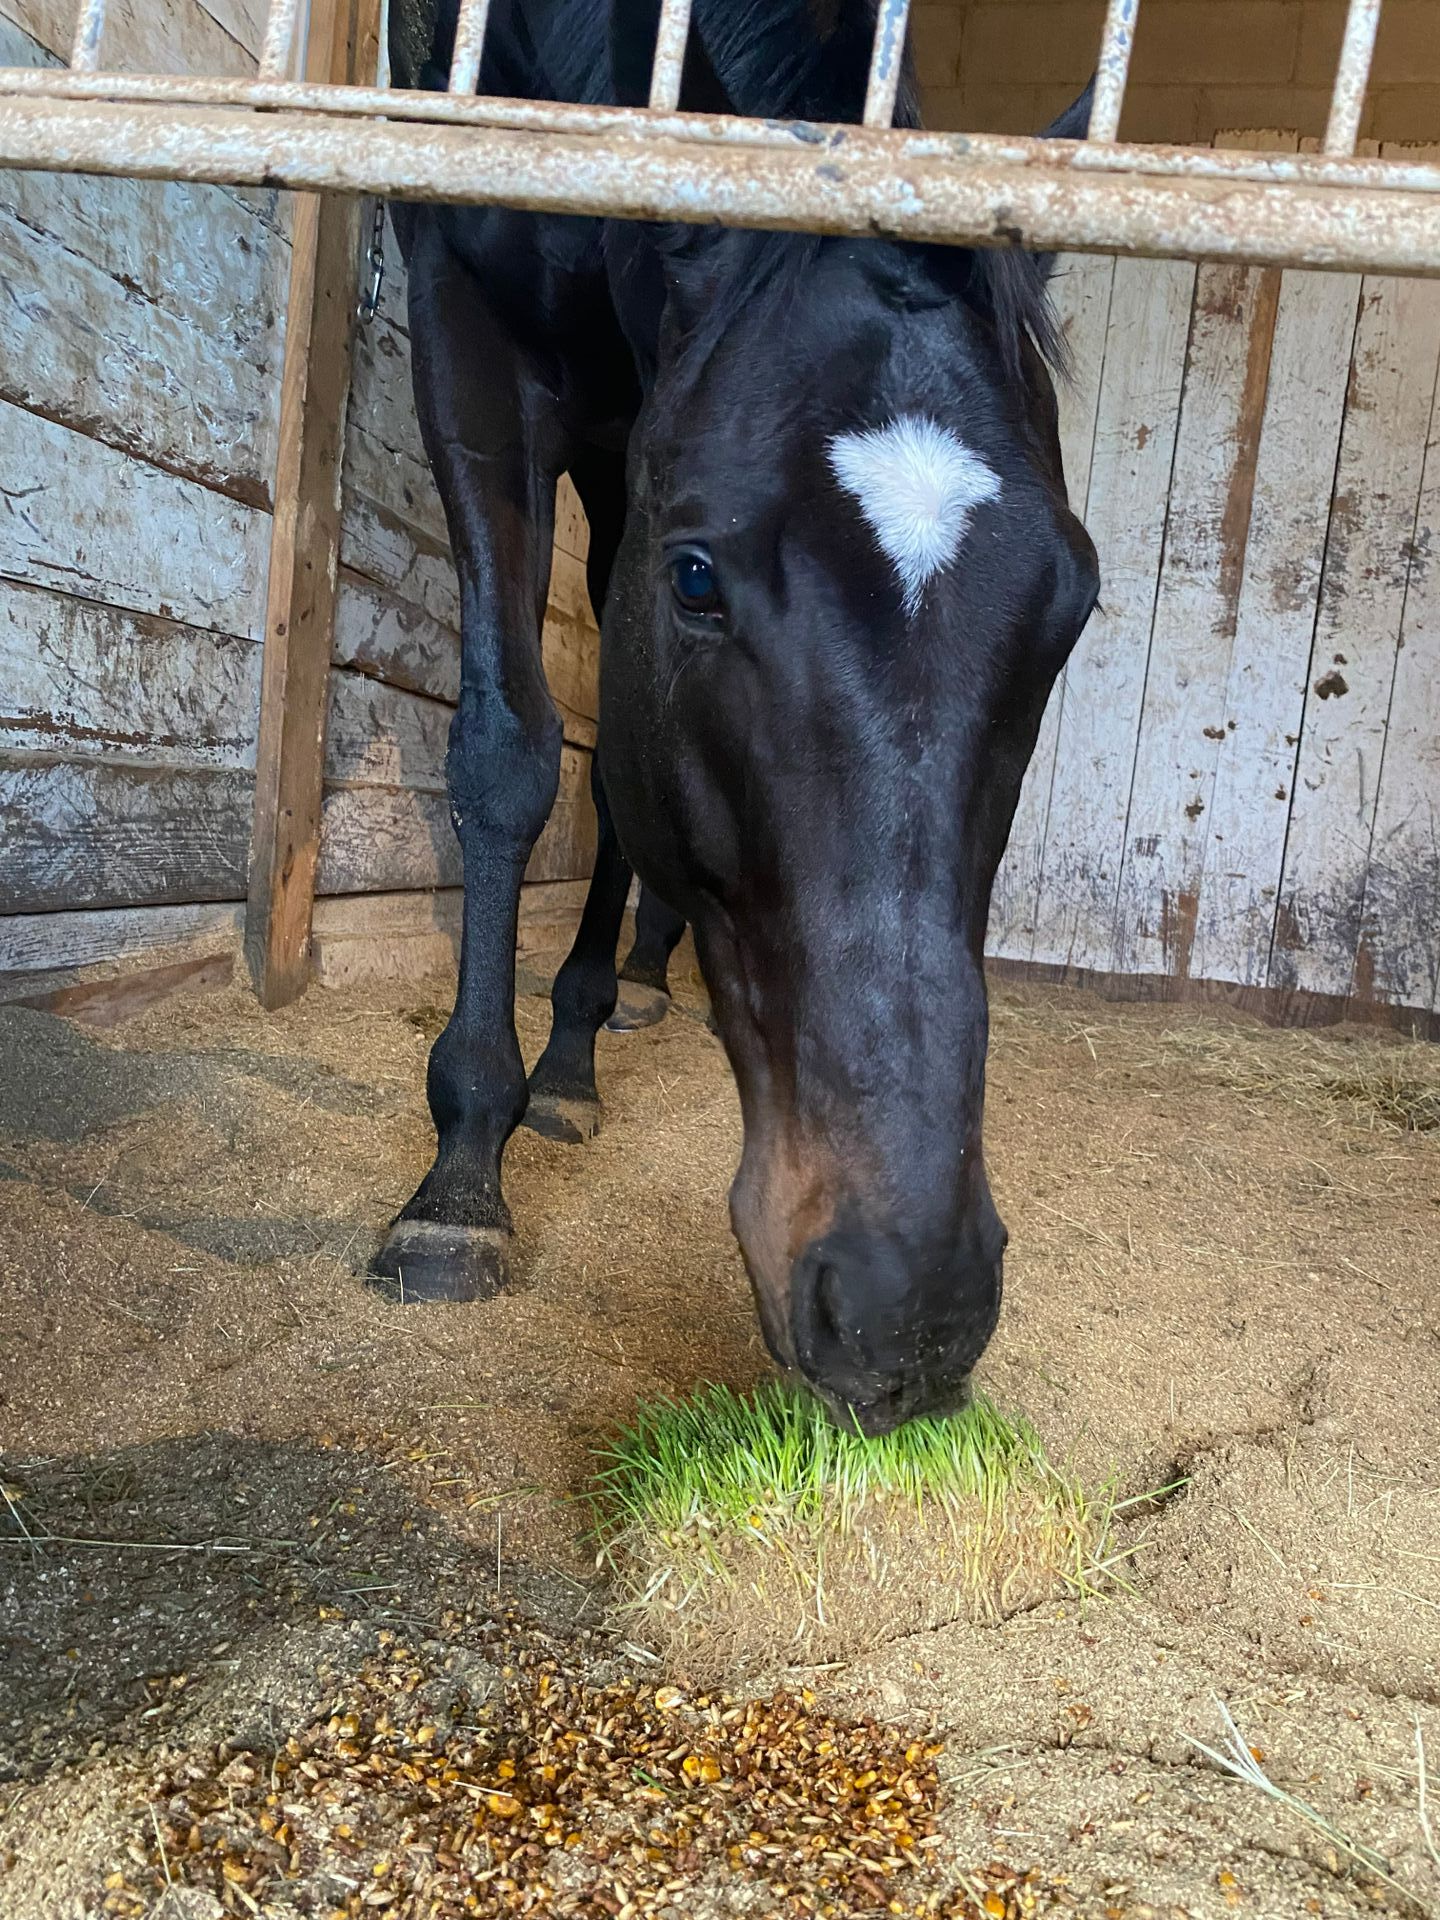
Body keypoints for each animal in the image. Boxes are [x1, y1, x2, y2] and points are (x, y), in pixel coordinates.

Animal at [372, 0, 1100, 1435]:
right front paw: (460, 1177)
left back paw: (598, 1028)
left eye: (1072, 605)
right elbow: (507, 748)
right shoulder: (464, 326)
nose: (907, 1305)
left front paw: (563, 1053)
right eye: (699, 577)